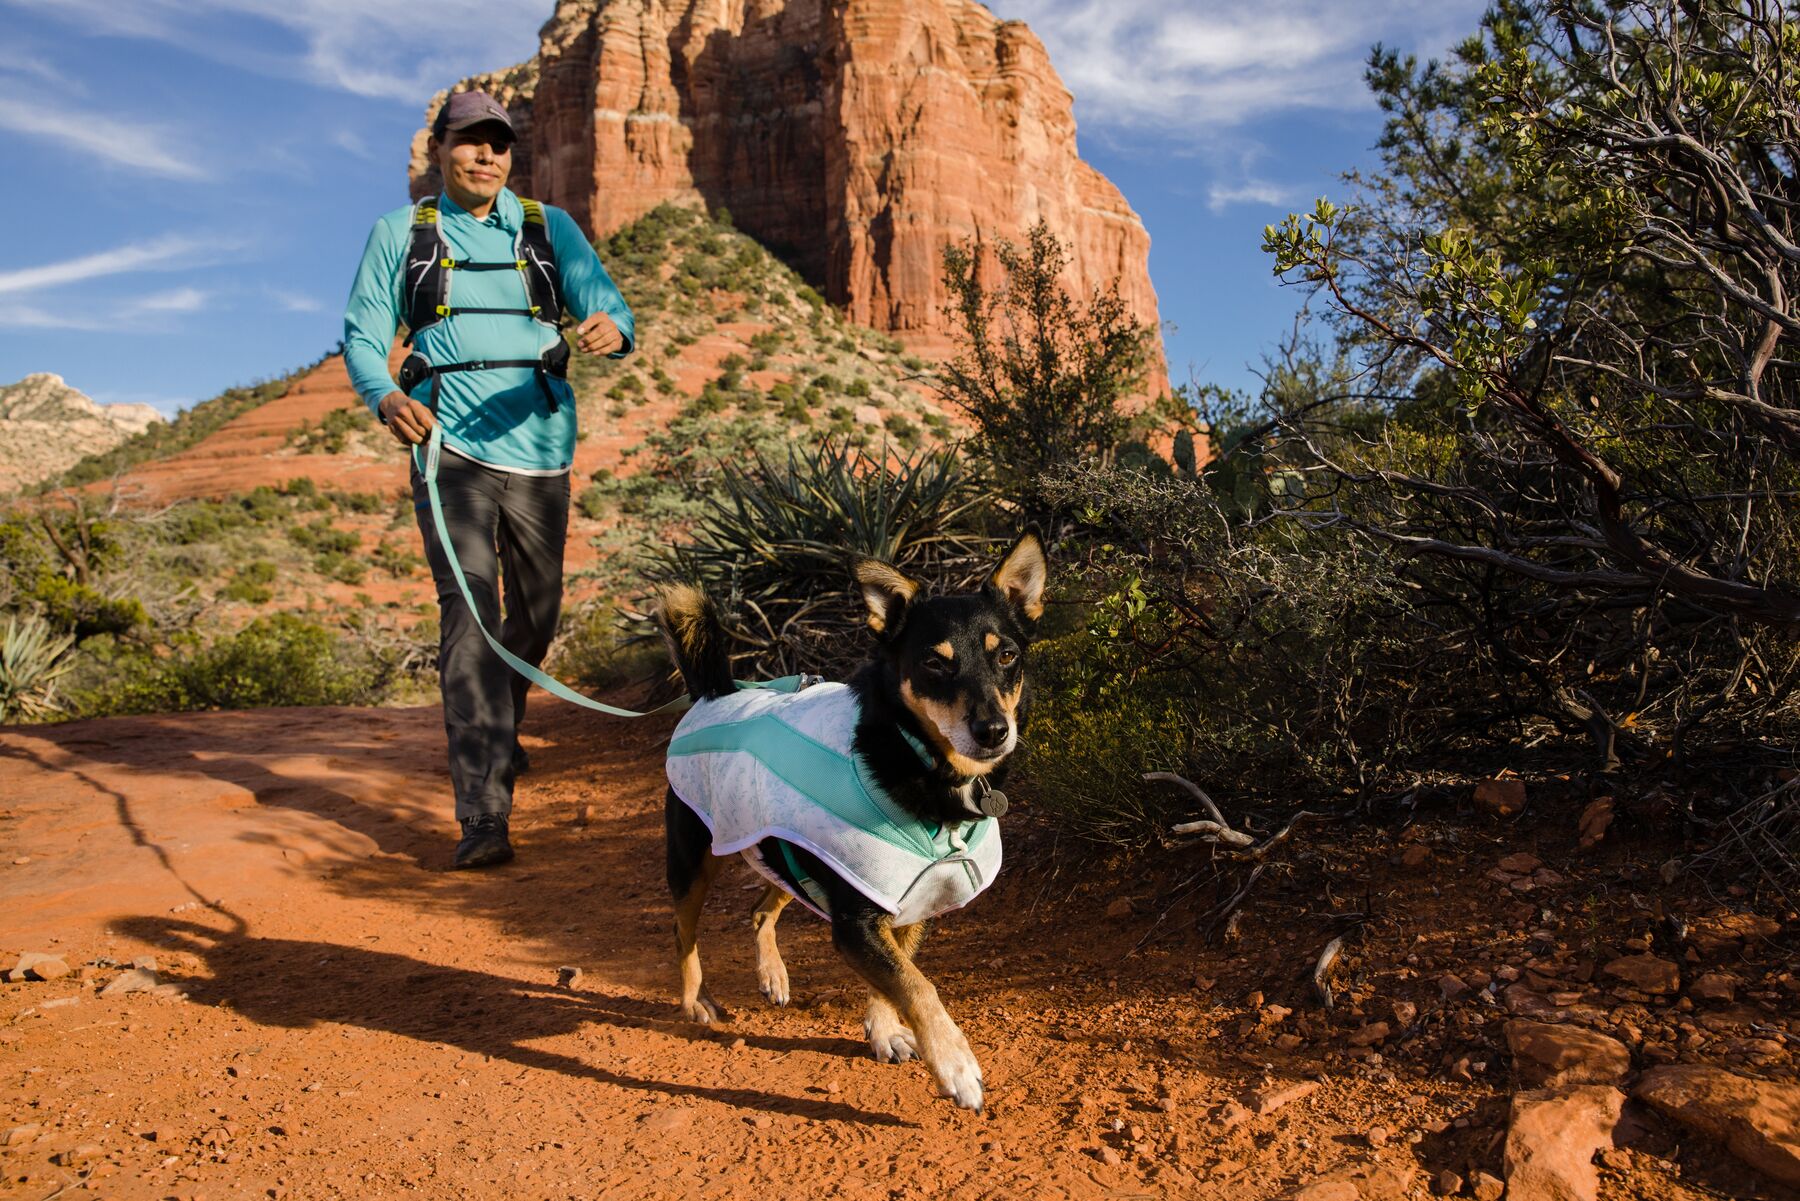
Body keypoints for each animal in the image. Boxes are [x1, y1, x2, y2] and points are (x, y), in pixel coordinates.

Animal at [655, 529, 1051, 1116]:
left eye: (1007, 655)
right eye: (934, 664)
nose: (993, 731)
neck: (919, 762)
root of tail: (714, 690)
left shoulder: (905, 900)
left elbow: (897, 977)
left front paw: (883, 1031)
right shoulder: (855, 919)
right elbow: (917, 985)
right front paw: (956, 1067)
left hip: (785, 848)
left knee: (759, 908)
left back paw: (772, 974)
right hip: (693, 857)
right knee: (683, 931)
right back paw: (695, 1000)